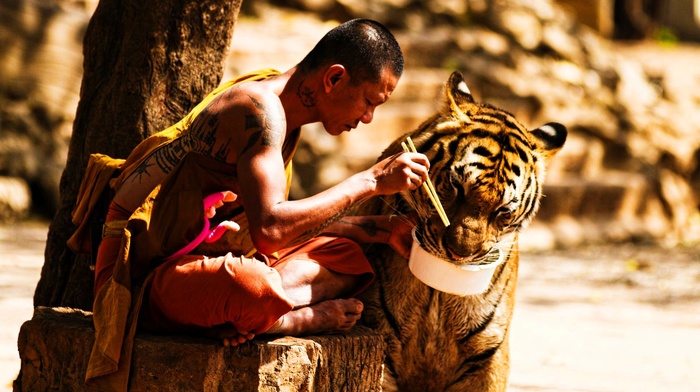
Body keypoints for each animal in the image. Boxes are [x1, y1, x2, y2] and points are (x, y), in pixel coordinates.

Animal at [356, 71, 568, 392]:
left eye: (503, 211)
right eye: (456, 187)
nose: (459, 254)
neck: (438, 293)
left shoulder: (488, 355)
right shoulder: (381, 340)